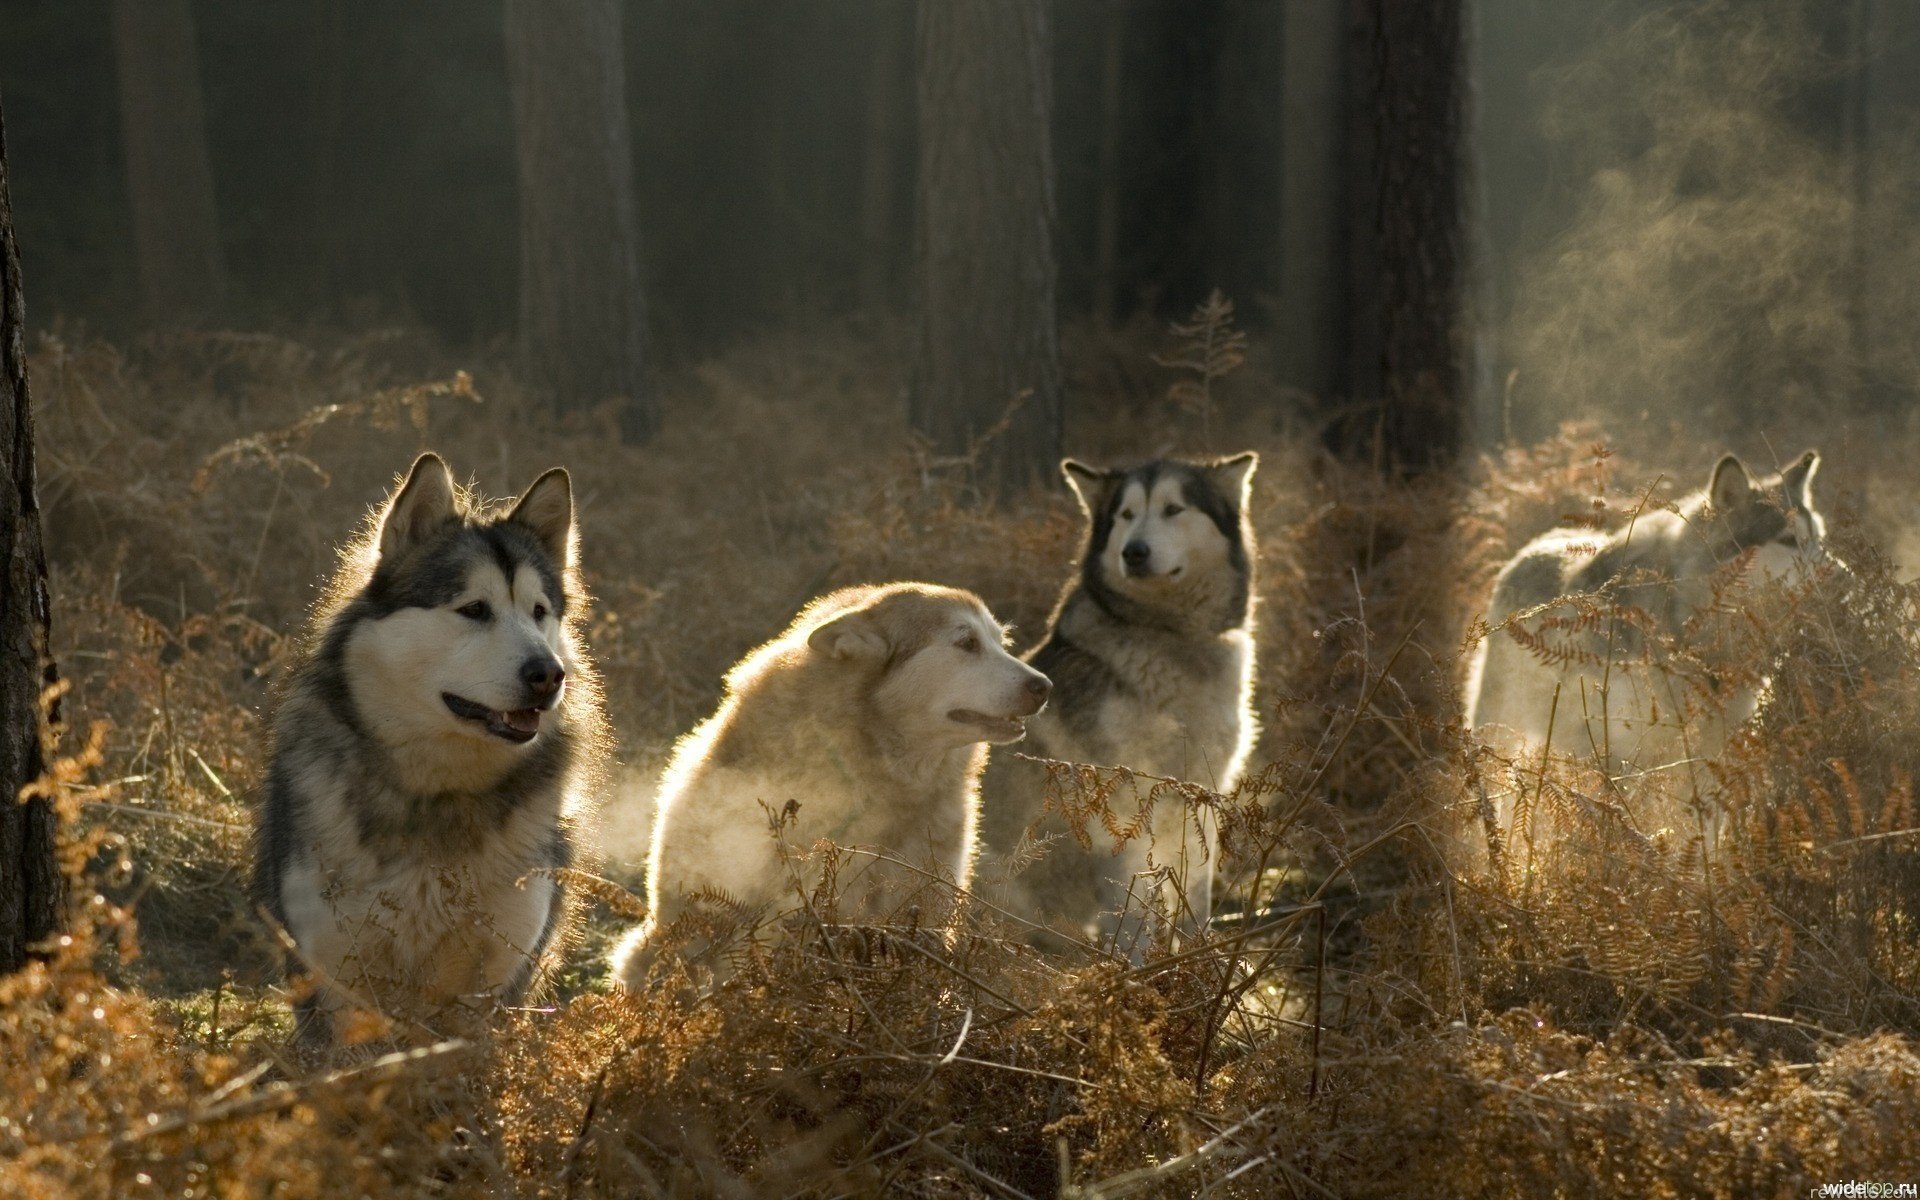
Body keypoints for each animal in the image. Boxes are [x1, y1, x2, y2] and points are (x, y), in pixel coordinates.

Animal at [253, 453, 608, 1044]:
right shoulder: (336, 981)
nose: (549, 674)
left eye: (539, 612)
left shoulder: (495, 985)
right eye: (475, 609)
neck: (437, 794)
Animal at [977, 452, 1259, 950]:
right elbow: (1131, 912)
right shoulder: (1122, 804)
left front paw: (1197, 956)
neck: (1167, 635)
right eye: (1126, 515)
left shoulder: (1201, 797)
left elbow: (1196, 896)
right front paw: (1135, 965)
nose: (1134, 552)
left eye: (1173, 509)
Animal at [1464, 450, 1828, 805]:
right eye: (1789, 540)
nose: (1837, 572)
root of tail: (1528, 550)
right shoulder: (1625, 761)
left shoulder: (1705, 760)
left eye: (1817, 541)